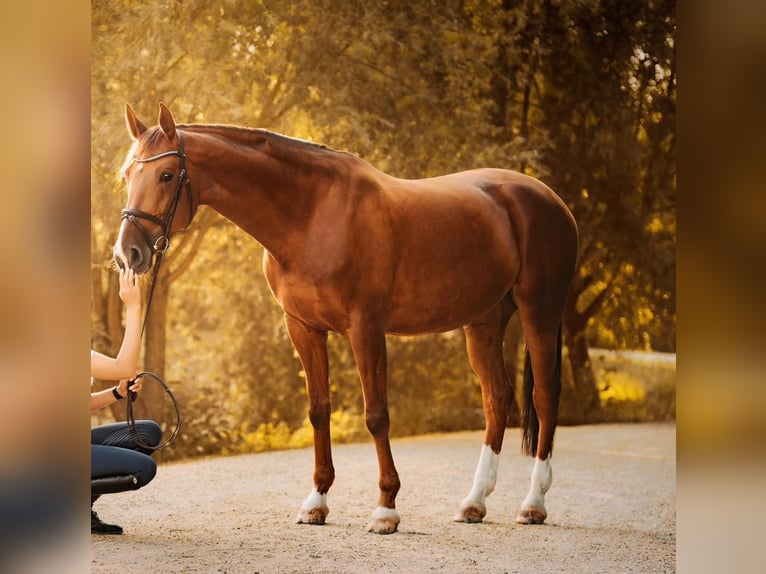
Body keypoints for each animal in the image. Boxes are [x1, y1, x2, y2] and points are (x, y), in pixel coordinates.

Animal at [114, 103, 580, 536]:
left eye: (167, 175)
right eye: (127, 176)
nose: (127, 253)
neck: (311, 214)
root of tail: (549, 198)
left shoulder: (366, 328)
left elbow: (376, 415)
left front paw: (386, 509)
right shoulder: (303, 328)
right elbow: (319, 411)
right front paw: (316, 503)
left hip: (540, 312)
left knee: (544, 397)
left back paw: (533, 504)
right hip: (482, 323)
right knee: (497, 399)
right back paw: (474, 503)